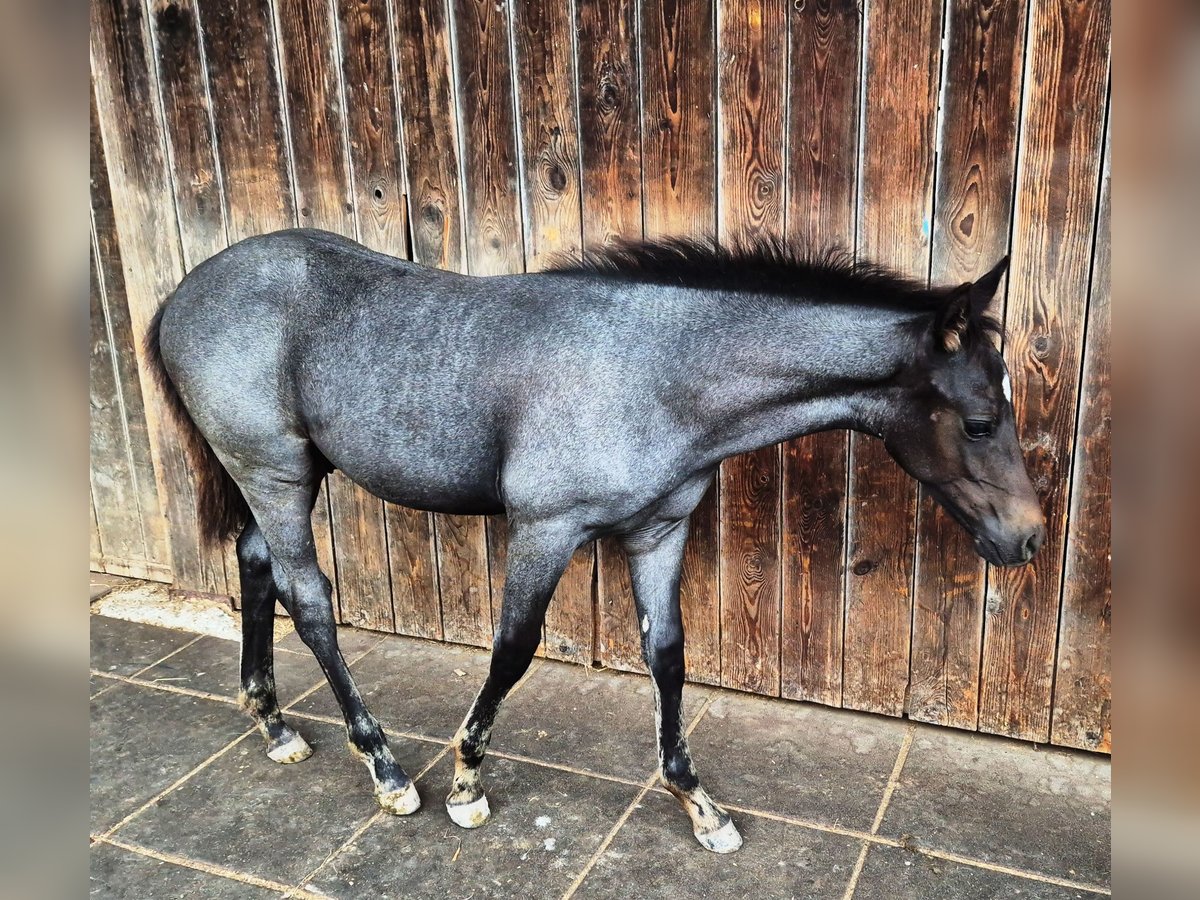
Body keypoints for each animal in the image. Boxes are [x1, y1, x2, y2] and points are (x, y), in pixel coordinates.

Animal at [145, 229, 1045, 853]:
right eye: (980, 419)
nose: (1030, 539)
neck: (654, 370)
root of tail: (185, 292)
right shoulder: (548, 529)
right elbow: (512, 649)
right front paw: (467, 783)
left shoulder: (657, 532)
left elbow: (668, 654)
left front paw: (699, 805)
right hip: (273, 473)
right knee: (307, 598)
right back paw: (388, 770)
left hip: (289, 476)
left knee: (256, 568)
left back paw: (275, 726)